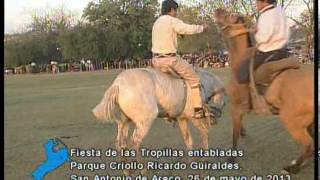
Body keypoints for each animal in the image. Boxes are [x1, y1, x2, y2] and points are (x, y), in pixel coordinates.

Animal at [91, 67, 224, 155]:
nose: (215, 121)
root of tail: (117, 84)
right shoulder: (194, 117)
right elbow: (204, 134)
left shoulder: (181, 119)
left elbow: (189, 141)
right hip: (145, 121)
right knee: (135, 144)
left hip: (125, 121)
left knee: (121, 143)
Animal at [214, 9, 314, 174]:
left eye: (230, 16)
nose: (217, 11)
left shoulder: (236, 107)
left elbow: (234, 134)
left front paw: (231, 158)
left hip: (291, 120)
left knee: (309, 145)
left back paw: (291, 168)